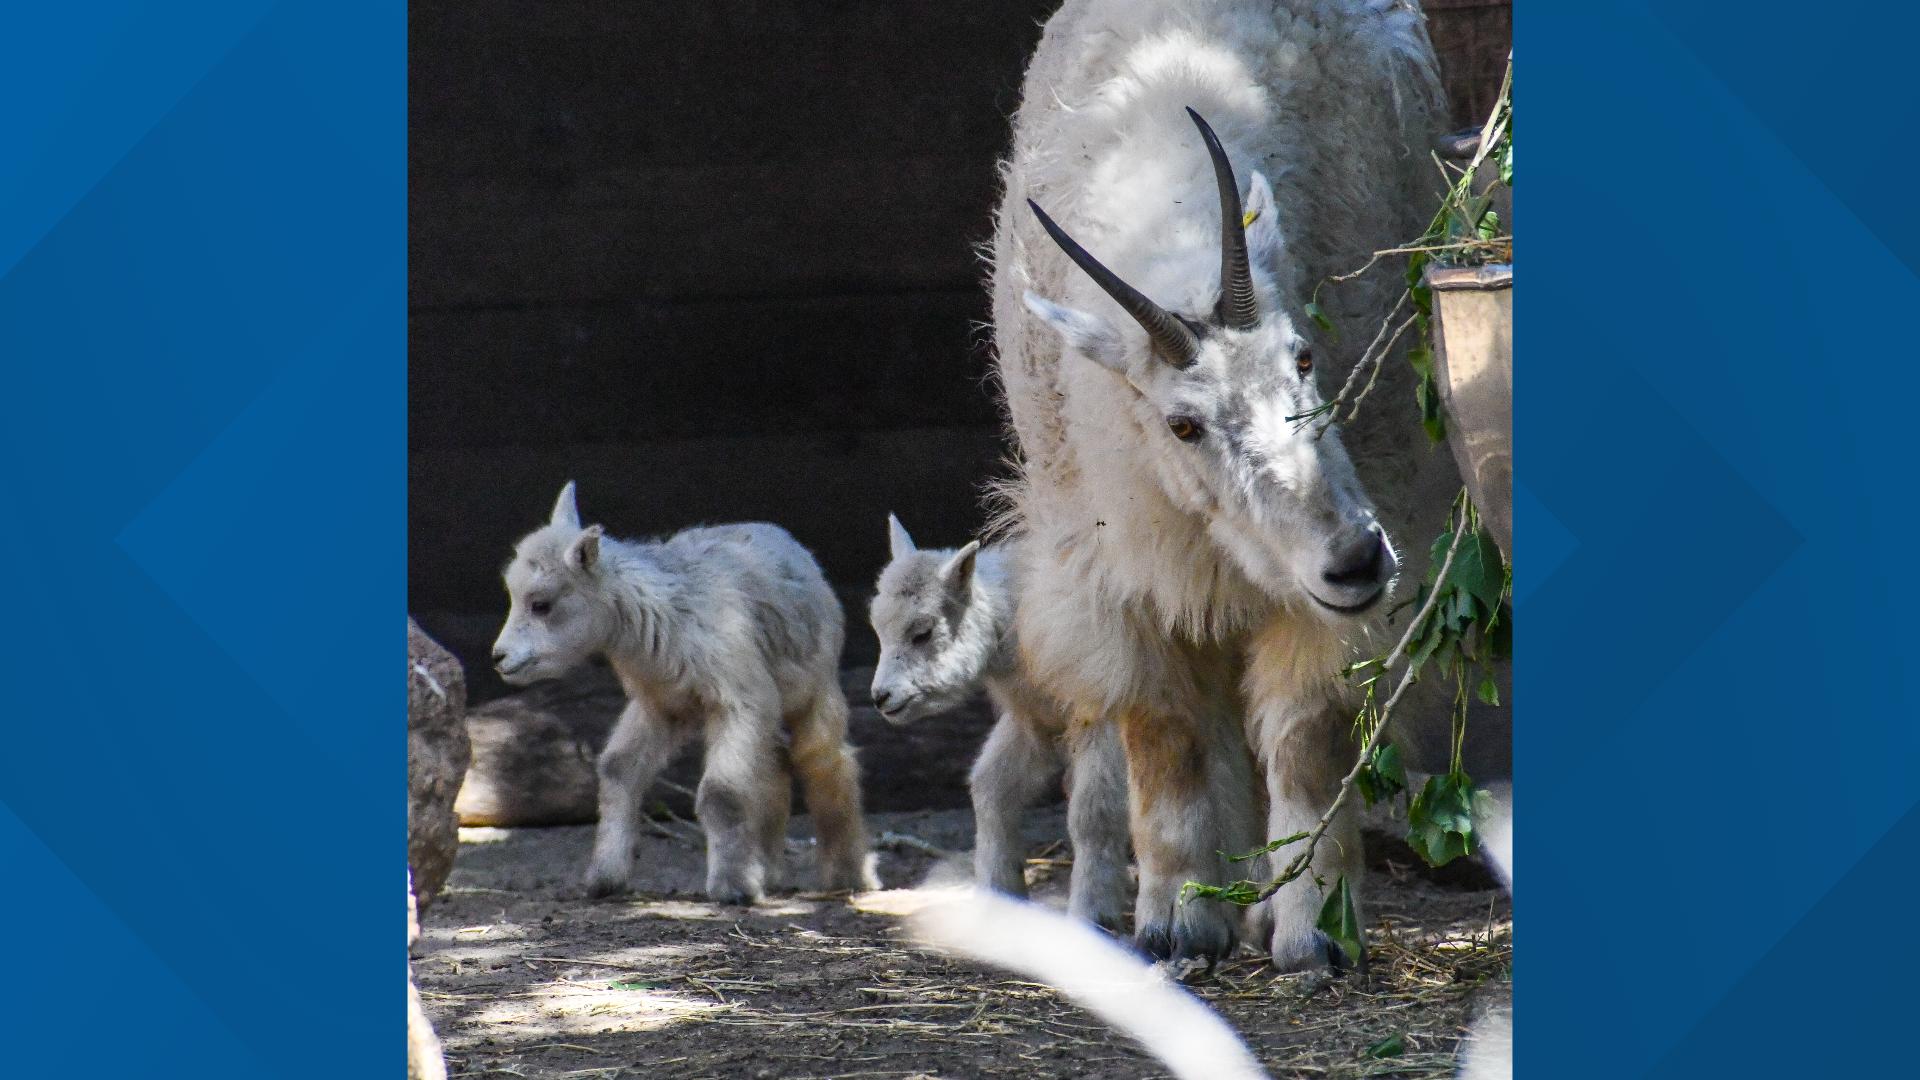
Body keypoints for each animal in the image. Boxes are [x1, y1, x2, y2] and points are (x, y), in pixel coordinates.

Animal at [495, 480, 883, 899]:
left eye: (541, 604)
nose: (498, 657)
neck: (660, 614)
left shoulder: (740, 700)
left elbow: (720, 792)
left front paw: (731, 887)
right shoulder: (660, 704)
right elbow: (617, 769)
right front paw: (604, 877)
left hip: (815, 687)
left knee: (828, 762)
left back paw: (849, 874)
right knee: (773, 768)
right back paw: (767, 868)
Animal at [867, 511, 1121, 926]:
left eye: (923, 632)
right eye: (877, 628)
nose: (880, 697)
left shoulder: (1106, 717)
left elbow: (1093, 815)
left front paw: (1092, 915)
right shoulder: (1034, 722)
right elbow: (989, 789)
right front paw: (999, 901)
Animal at [990, 0, 1443, 960]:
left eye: (1303, 355)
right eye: (1183, 424)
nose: (1354, 560)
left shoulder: (1337, 582)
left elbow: (1308, 733)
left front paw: (1316, 932)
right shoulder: (1118, 571)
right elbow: (1164, 734)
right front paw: (1177, 918)